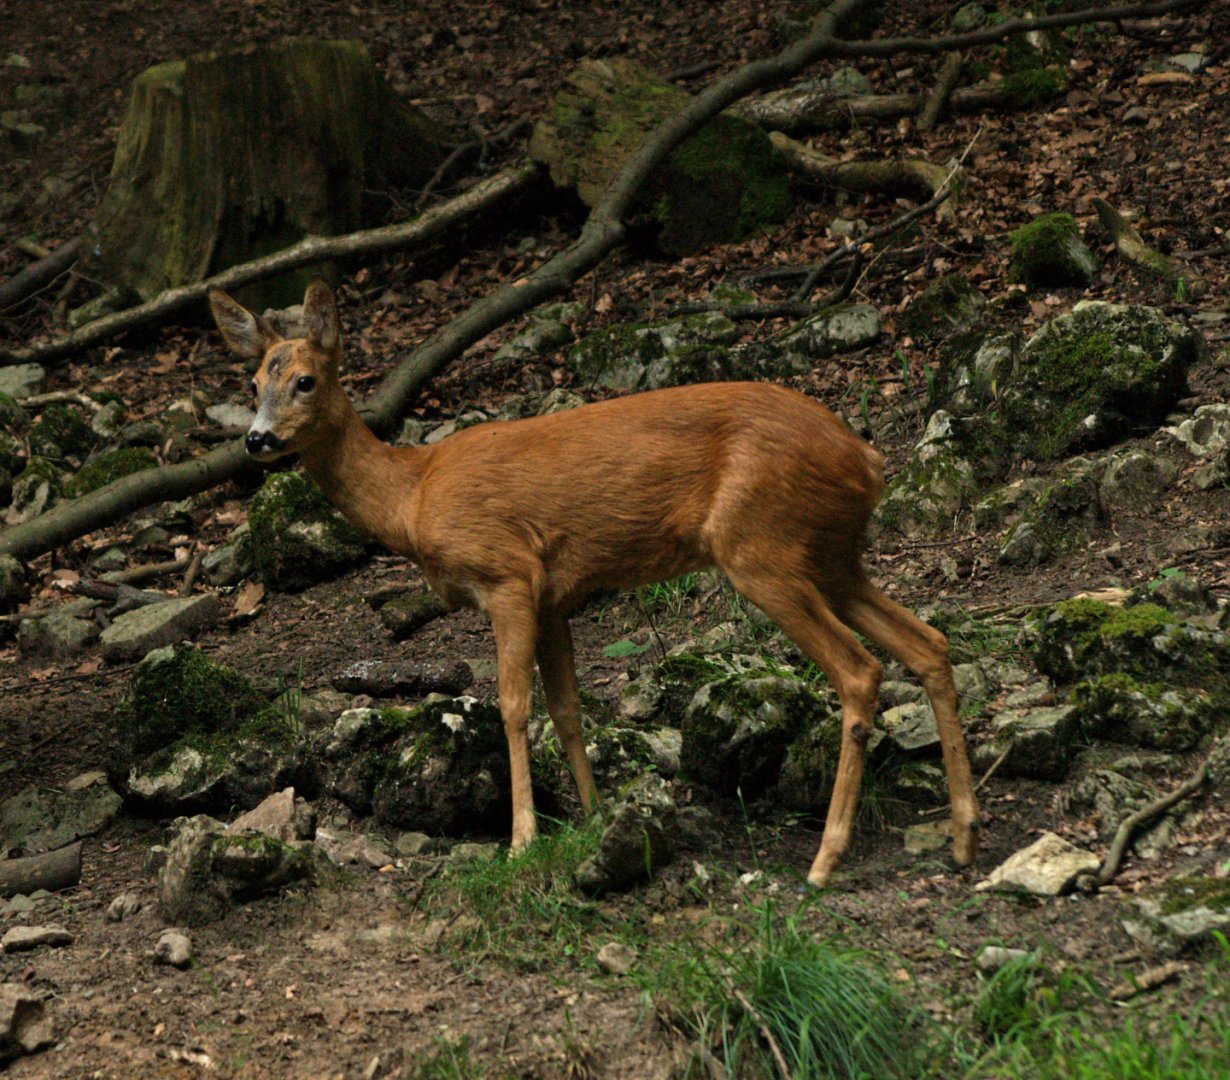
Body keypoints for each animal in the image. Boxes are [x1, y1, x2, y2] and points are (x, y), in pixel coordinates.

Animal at [209, 280, 979, 887]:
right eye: (251, 385)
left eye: (305, 380)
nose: (257, 440)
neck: (413, 495)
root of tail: (868, 458)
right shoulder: (554, 596)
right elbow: (569, 709)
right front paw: (595, 817)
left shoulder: (507, 572)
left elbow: (513, 706)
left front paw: (521, 839)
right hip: (830, 555)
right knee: (929, 642)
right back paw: (965, 835)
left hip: (761, 545)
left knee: (859, 670)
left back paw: (825, 859)